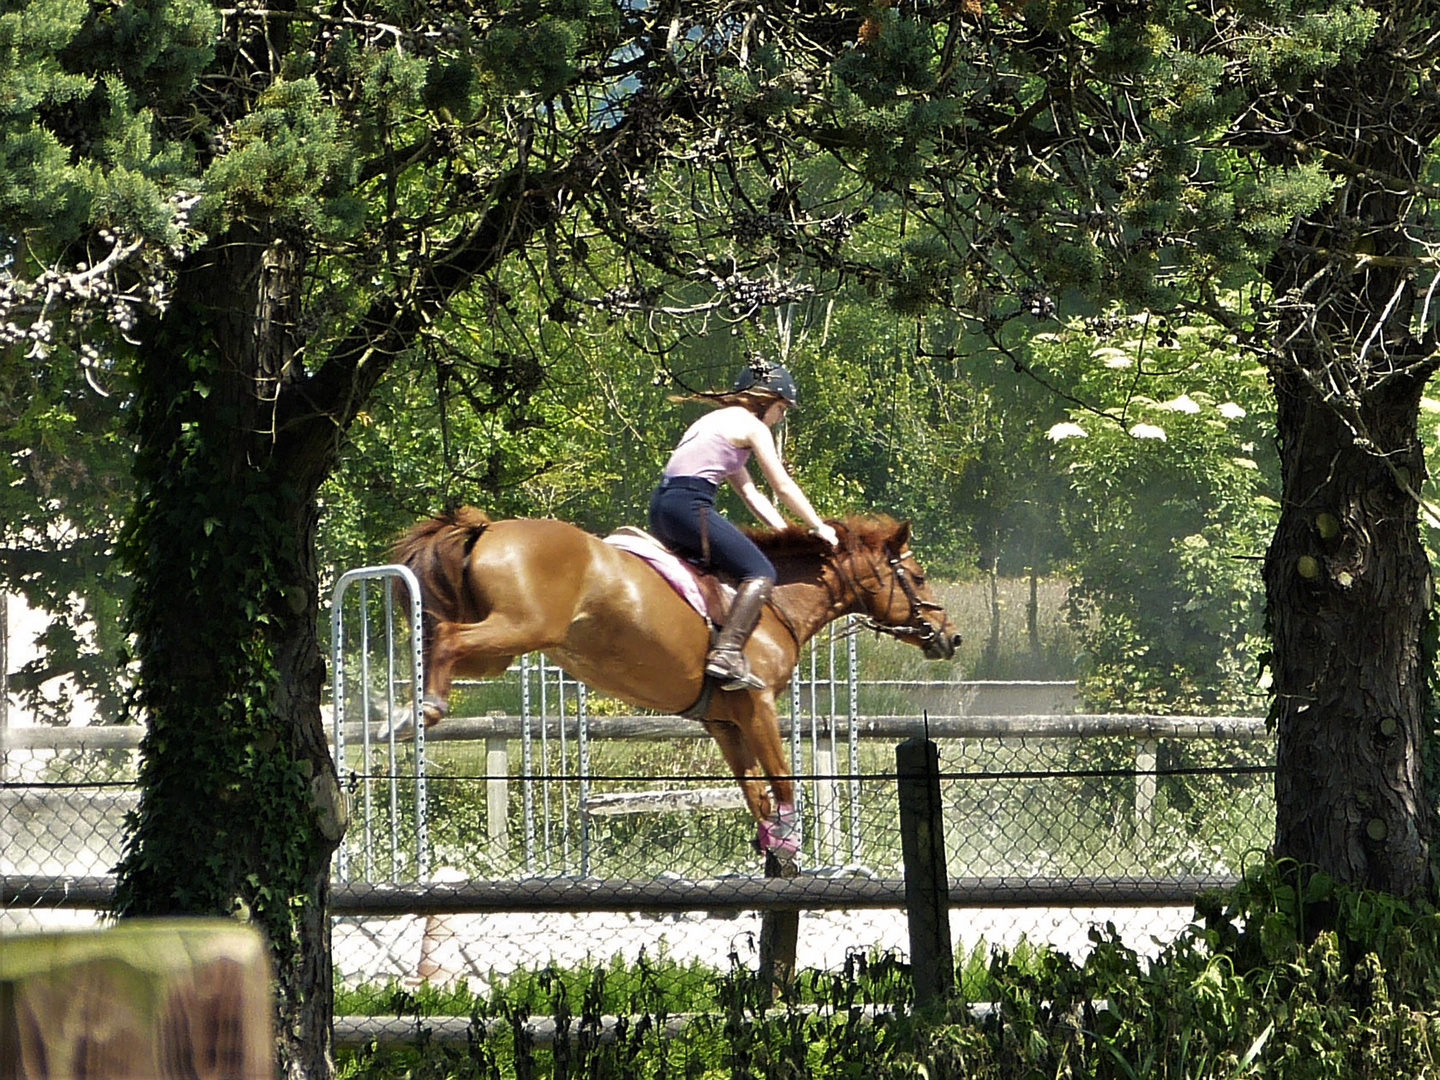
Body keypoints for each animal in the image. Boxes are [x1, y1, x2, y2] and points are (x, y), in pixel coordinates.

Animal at [388, 509, 961, 869]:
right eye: (917, 576)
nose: (950, 635)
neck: (776, 602)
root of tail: (485, 529)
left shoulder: (725, 722)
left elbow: (755, 793)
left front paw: (772, 848)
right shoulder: (758, 707)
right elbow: (781, 781)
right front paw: (788, 844)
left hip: (501, 651)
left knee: (445, 642)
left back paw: (404, 709)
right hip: (520, 628)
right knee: (447, 637)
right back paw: (422, 709)